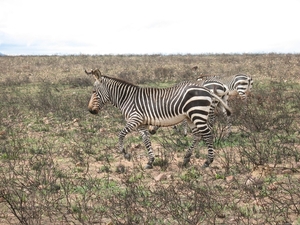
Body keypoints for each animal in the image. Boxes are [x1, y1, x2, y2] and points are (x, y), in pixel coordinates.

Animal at [85, 68, 232, 169]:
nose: (90, 111)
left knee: (207, 135)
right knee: (197, 135)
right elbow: (146, 141)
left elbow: (120, 135)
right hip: (191, 117)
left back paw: (208, 161)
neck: (127, 98)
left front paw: (125, 153)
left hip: (198, 114)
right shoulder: (142, 124)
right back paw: (186, 158)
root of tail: (205, 89)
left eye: (94, 92)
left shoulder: (134, 119)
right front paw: (150, 161)